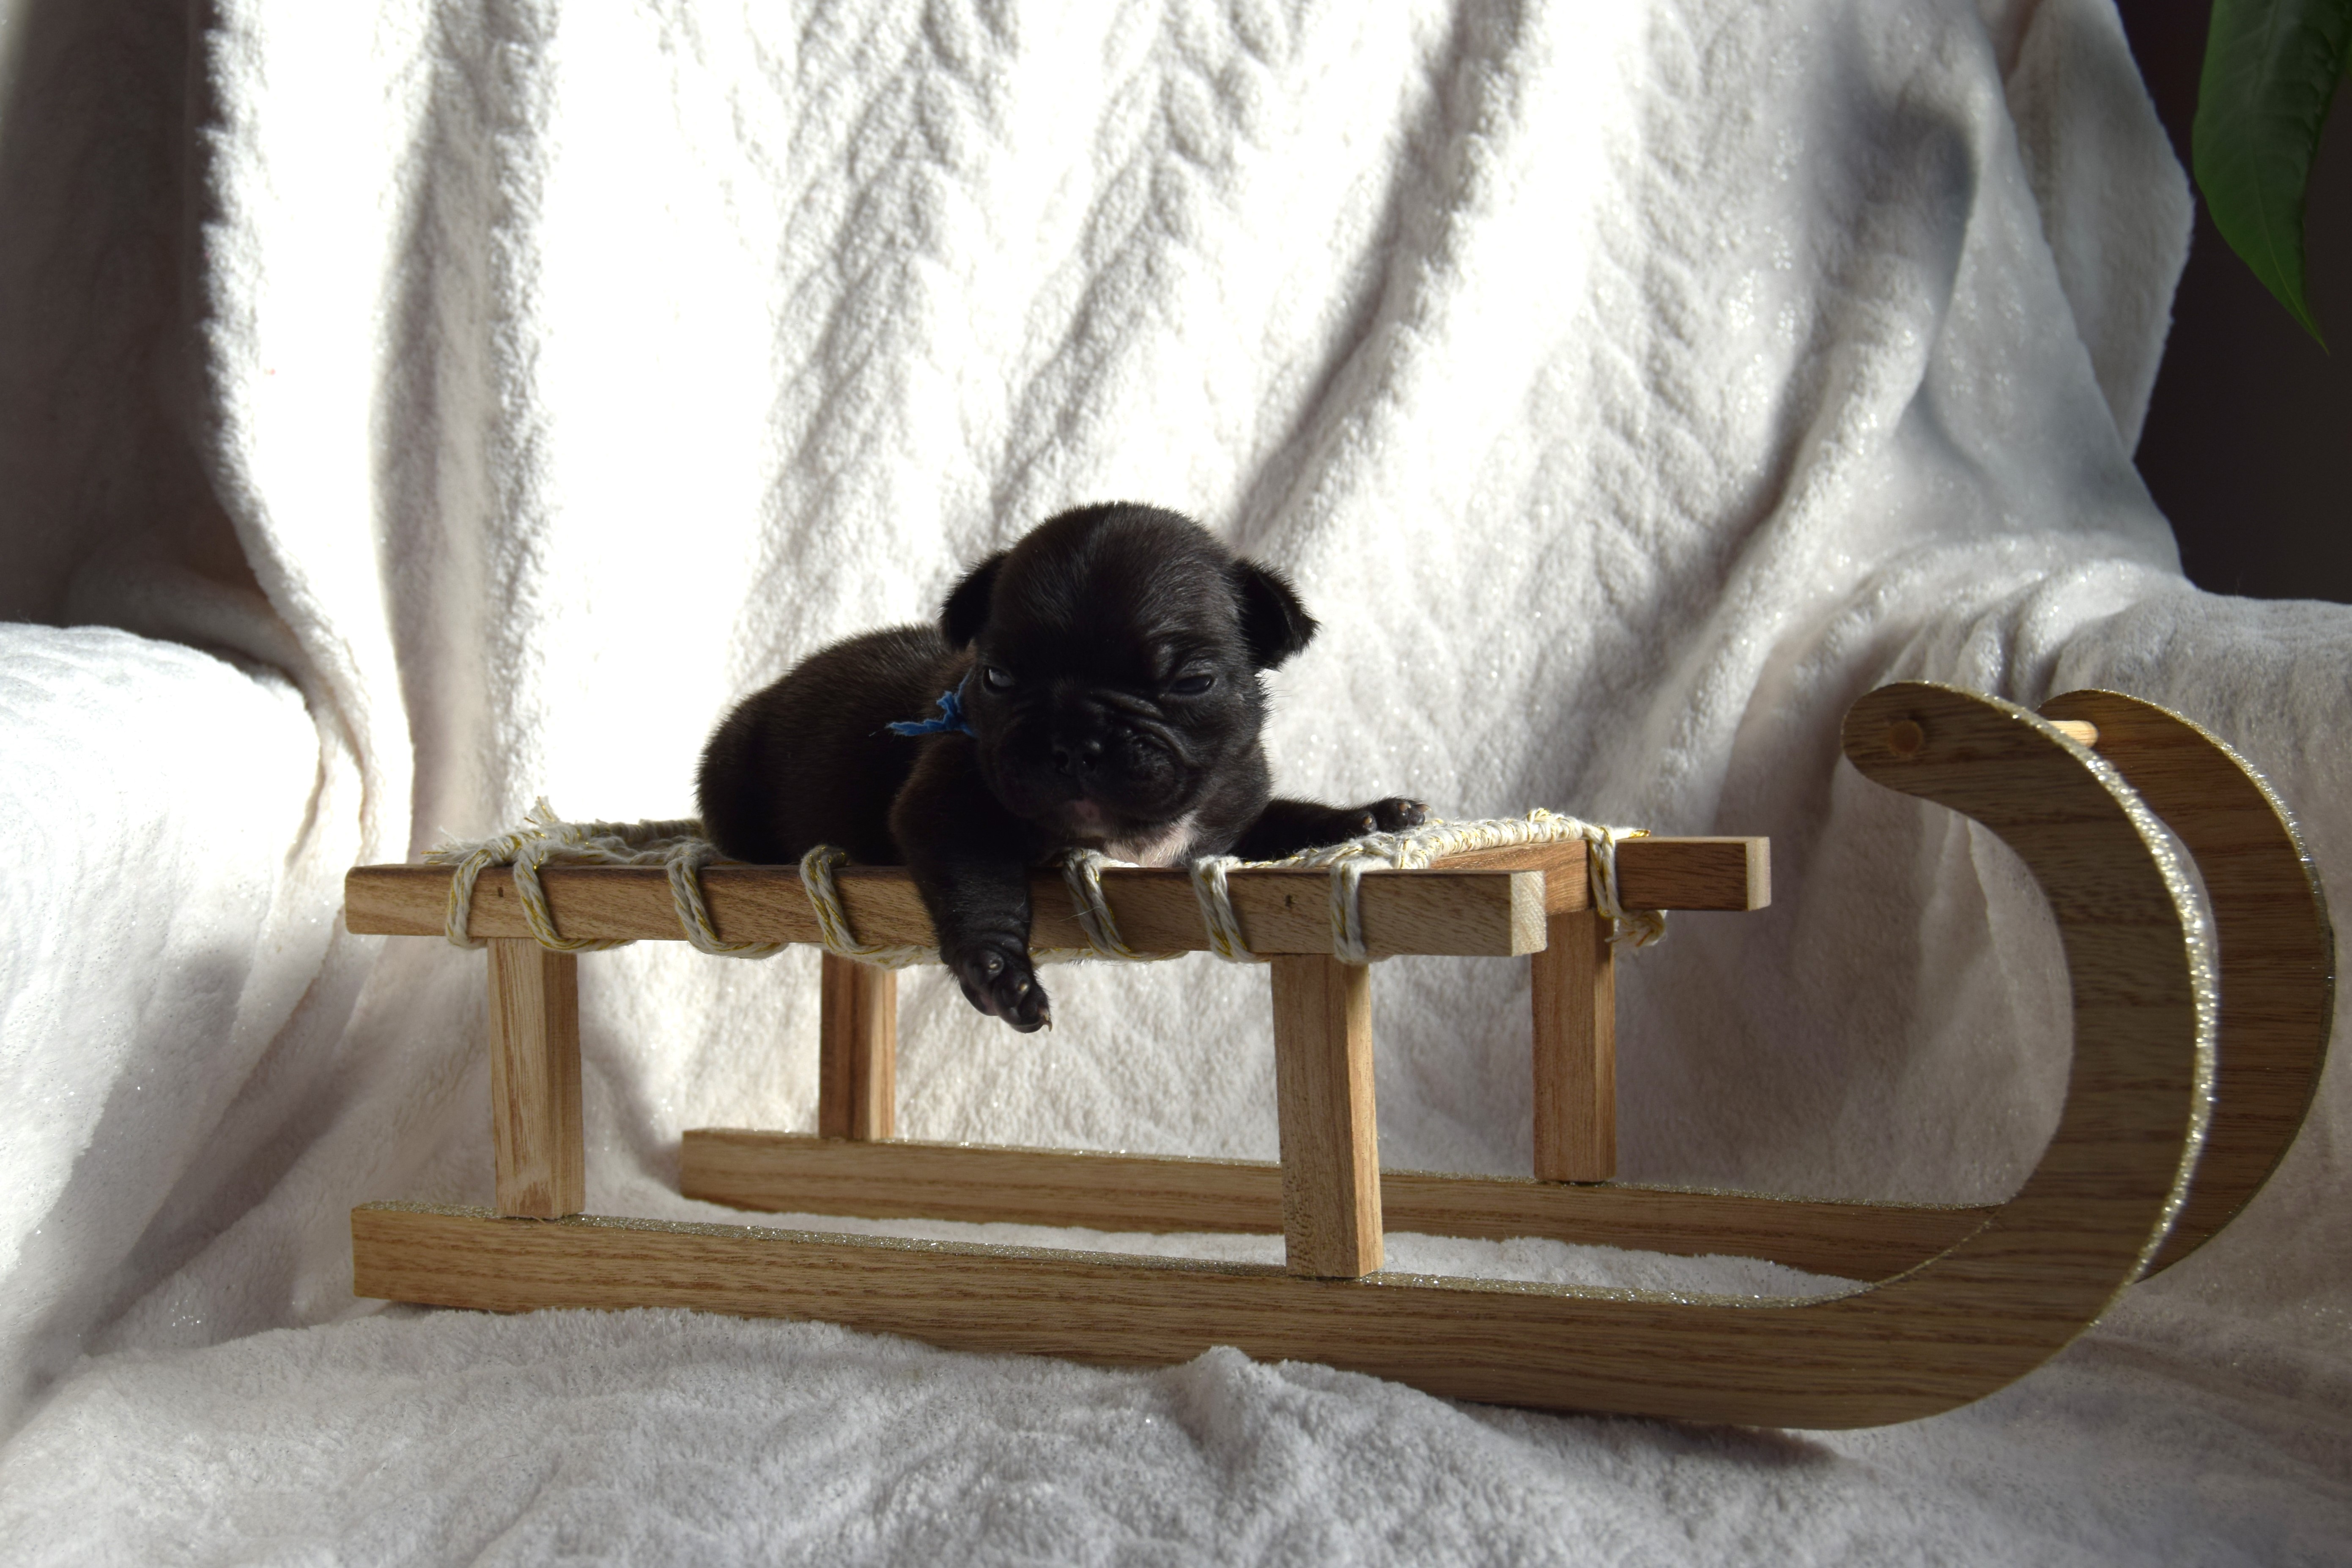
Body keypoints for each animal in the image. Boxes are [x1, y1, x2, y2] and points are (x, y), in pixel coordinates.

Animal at [696, 503, 1420, 1034]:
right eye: (996, 677)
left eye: (1191, 682)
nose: (1075, 736)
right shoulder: (949, 807)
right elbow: (980, 891)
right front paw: (998, 973)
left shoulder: (1230, 807)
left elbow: (1283, 819)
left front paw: (1365, 816)